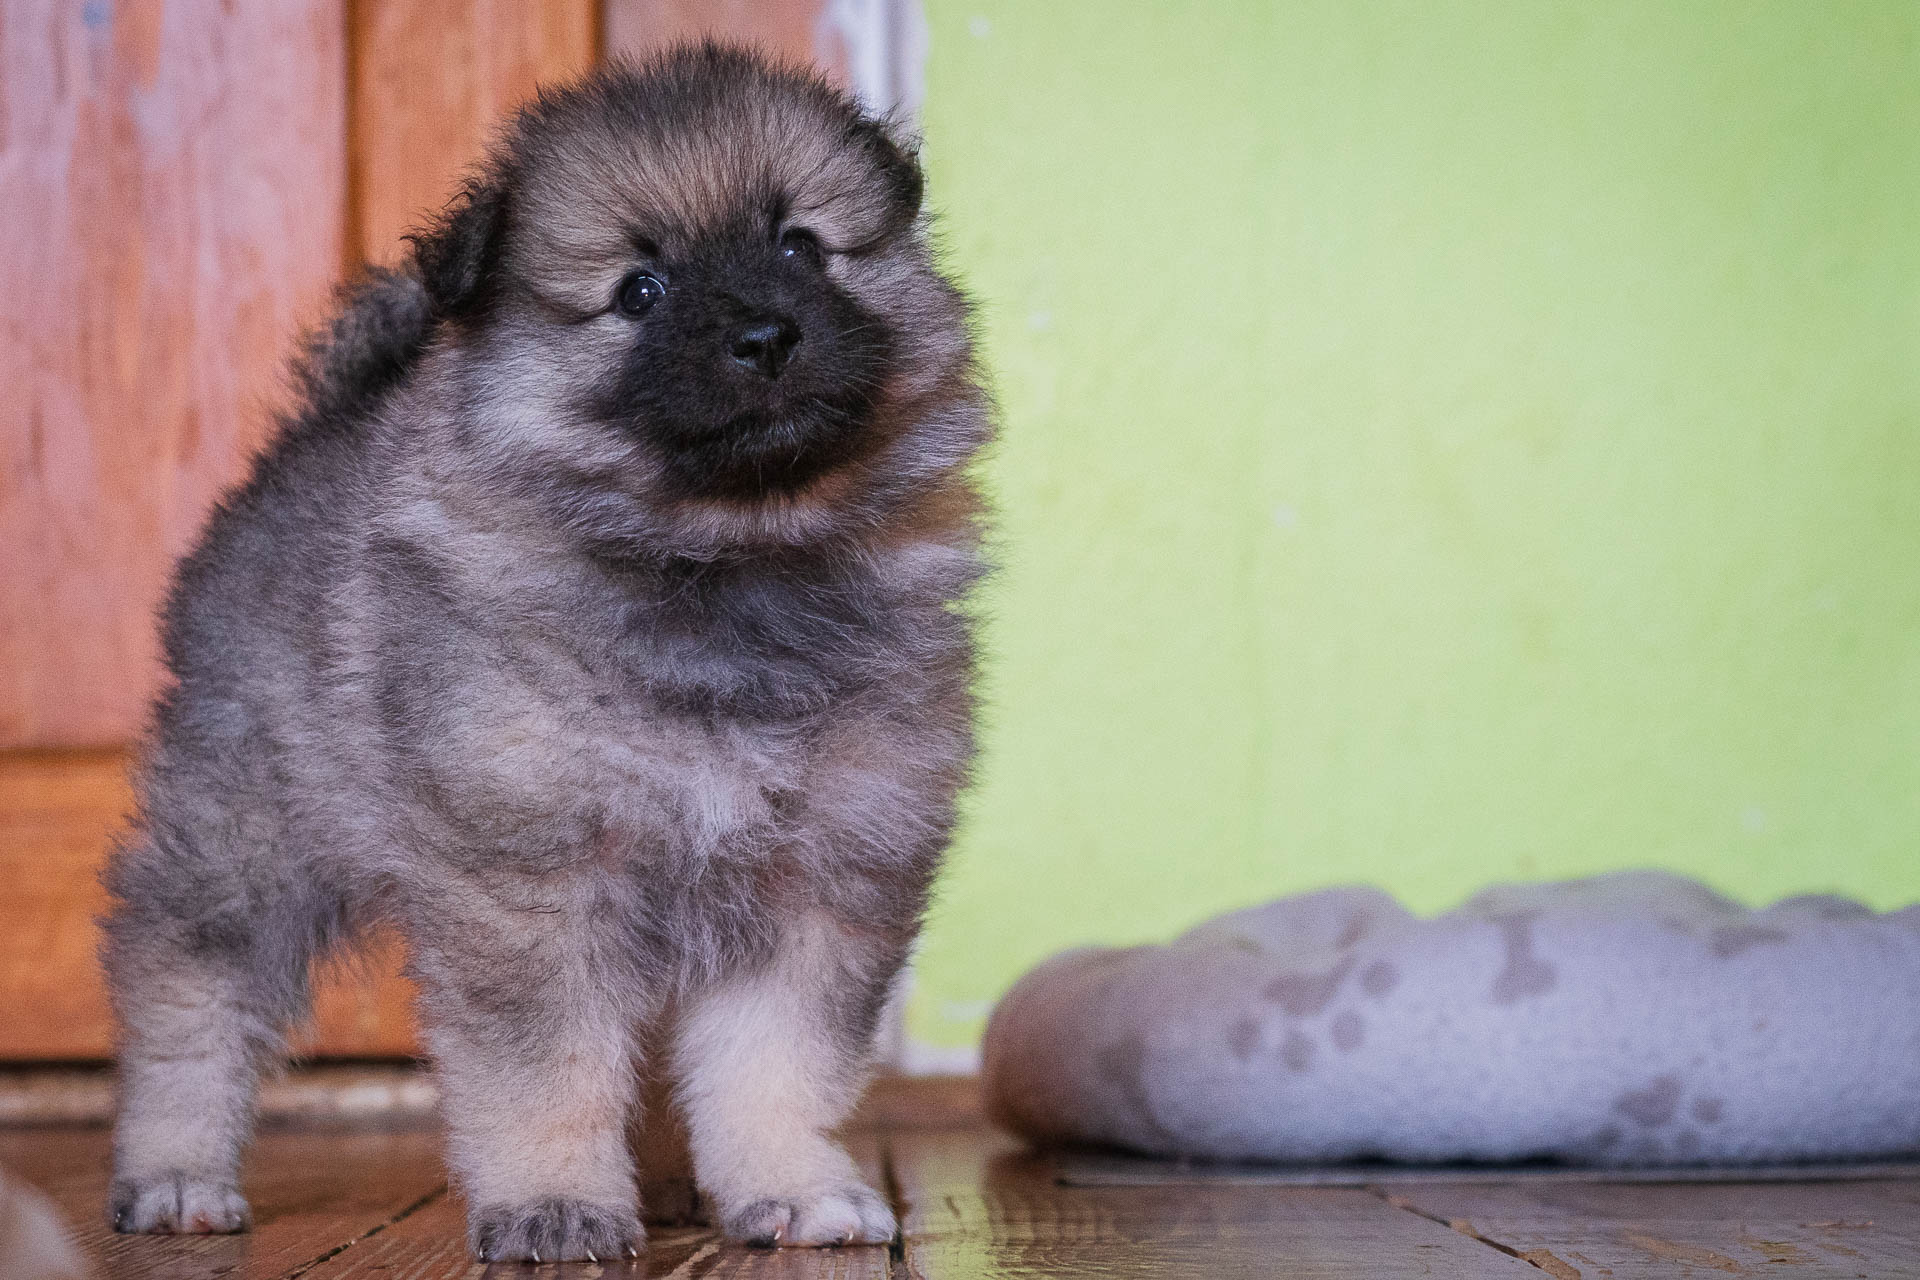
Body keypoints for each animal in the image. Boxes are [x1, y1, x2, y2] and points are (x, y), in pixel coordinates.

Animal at [101, 47, 990, 1258]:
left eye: (802, 247)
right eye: (639, 291)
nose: (765, 337)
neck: (719, 561)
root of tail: (308, 437)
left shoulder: (819, 874)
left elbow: (776, 1062)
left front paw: (791, 1184)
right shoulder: (532, 874)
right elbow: (547, 1070)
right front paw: (557, 1202)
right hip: (248, 834)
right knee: (186, 991)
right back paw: (176, 1171)